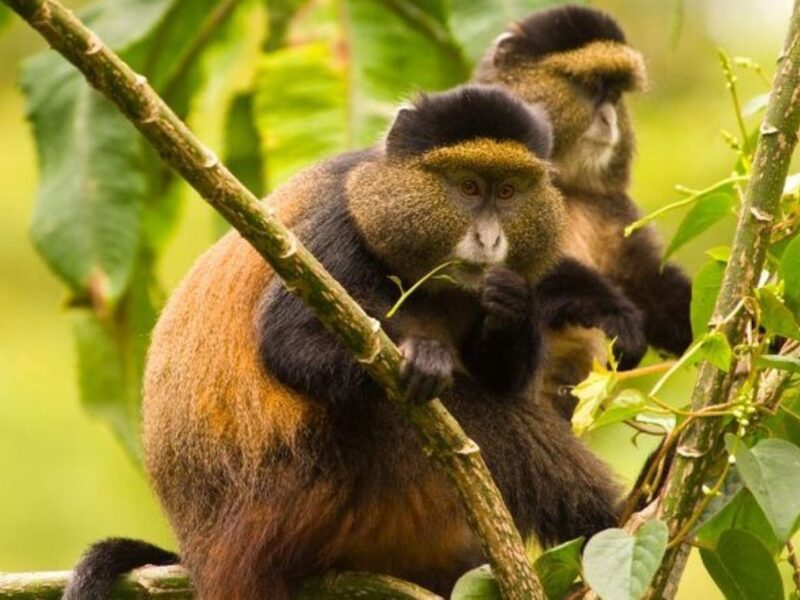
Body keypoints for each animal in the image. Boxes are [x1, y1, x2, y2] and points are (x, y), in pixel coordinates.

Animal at [64, 85, 642, 599]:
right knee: (462, 414)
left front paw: (515, 304)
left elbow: (504, 367)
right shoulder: (336, 230)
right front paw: (424, 356)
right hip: (306, 493)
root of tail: (200, 550)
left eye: (507, 192)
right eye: (467, 187)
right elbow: (289, 342)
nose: (489, 239)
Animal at [474, 5, 692, 417]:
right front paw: (612, 312)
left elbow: (645, 278)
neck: (563, 184)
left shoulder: (610, 206)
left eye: (615, 92)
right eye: (590, 87)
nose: (609, 120)